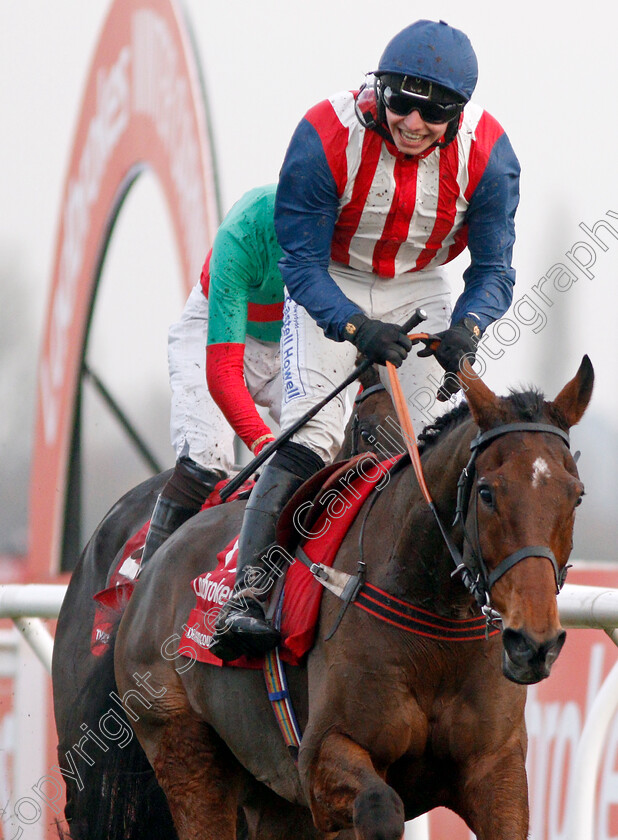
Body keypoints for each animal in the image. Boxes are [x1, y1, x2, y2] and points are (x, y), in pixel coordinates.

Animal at [102, 356, 592, 840]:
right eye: (487, 493)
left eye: (577, 496)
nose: (534, 643)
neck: (435, 622)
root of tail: (155, 561)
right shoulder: (320, 760)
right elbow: (380, 808)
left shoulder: (496, 767)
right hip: (186, 752)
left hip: (274, 799)